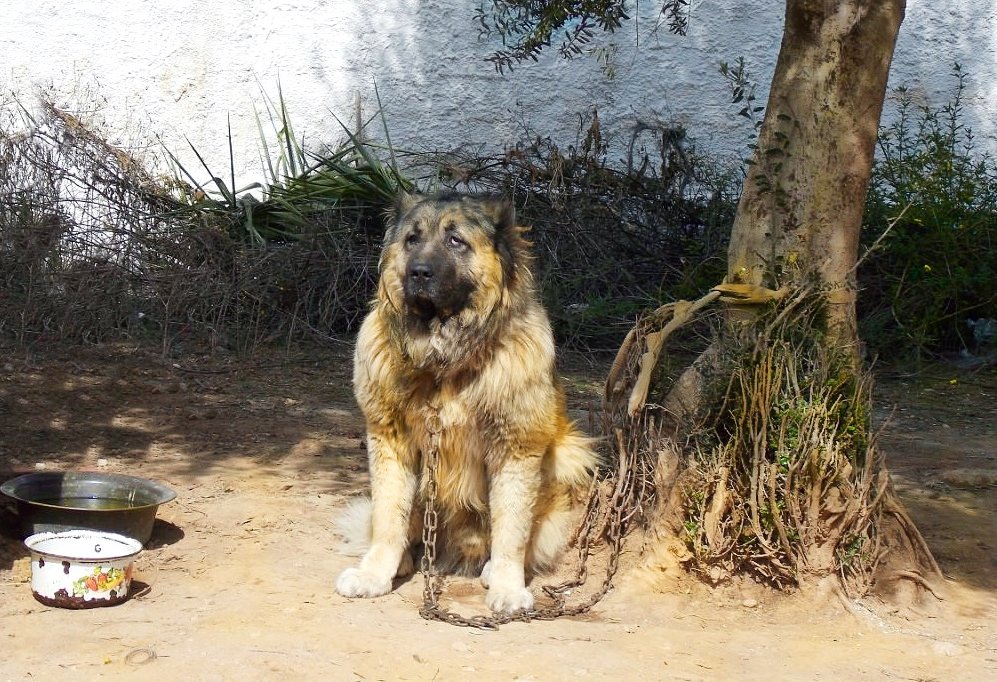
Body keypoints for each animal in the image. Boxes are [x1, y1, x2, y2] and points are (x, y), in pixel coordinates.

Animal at [334, 191, 600, 612]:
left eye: (455, 240)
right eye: (412, 239)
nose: (418, 272)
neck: (444, 356)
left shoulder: (516, 446)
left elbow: (512, 530)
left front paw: (507, 587)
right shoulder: (389, 437)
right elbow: (388, 519)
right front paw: (374, 574)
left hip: (568, 455)